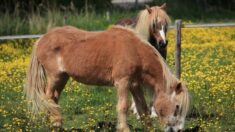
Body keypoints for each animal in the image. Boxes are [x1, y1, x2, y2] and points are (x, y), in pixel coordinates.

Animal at [24, 25, 189, 131]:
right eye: (177, 107)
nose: (178, 130)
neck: (135, 50)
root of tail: (42, 39)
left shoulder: (134, 85)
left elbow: (142, 108)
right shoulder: (123, 82)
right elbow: (123, 106)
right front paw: (124, 128)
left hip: (62, 78)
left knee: (54, 98)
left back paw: (56, 123)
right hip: (55, 77)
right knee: (48, 98)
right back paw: (53, 124)